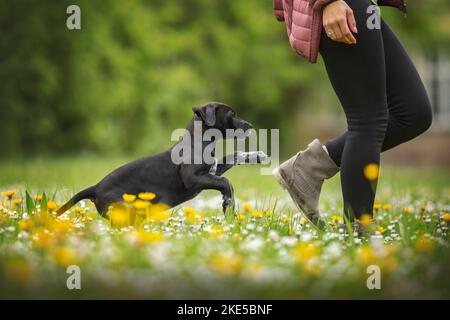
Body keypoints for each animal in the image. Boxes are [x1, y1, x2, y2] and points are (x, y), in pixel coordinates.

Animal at [56, 102, 268, 216]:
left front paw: (256, 156)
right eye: (232, 114)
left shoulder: (213, 169)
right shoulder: (193, 178)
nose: (250, 125)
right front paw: (228, 202)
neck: (200, 142)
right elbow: (225, 181)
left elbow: (233, 156)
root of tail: (96, 187)